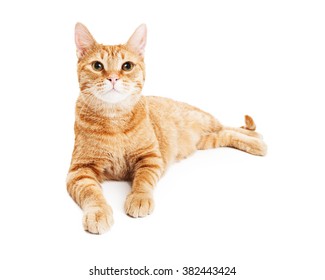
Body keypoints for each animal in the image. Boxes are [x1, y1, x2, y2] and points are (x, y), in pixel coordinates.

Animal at [66, 23, 266, 234]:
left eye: (127, 66)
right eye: (97, 66)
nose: (113, 78)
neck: (115, 120)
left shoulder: (151, 158)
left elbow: (142, 181)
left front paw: (139, 198)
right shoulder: (80, 170)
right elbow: (91, 193)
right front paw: (98, 212)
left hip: (204, 120)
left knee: (229, 126)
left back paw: (258, 141)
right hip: (206, 140)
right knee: (226, 133)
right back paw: (257, 143)